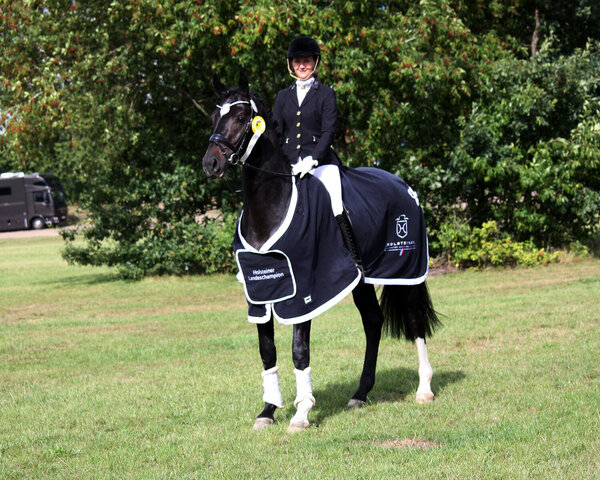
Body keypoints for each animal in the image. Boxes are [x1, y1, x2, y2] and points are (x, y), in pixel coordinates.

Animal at [202, 73, 440, 432]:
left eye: (242, 118)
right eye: (216, 116)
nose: (210, 163)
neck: (271, 208)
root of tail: (403, 185)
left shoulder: (304, 292)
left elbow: (299, 350)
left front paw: (301, 413)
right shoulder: (260, 294)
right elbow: (267, 351)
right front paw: (267, 411)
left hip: (406, 273)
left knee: (414, 322)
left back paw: (424, 389)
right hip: (361, 281)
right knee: (373, 322)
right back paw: (360, 393)